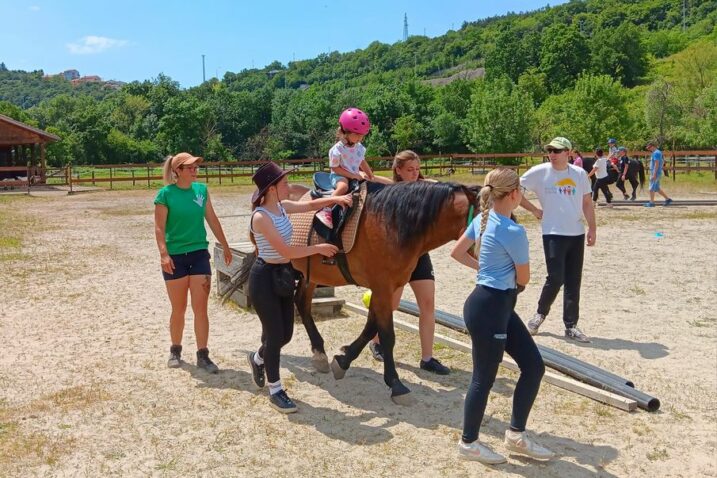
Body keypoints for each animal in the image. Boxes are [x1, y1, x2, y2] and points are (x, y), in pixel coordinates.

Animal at [286, 181, 482, 406]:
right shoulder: (382, 287)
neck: (393, 225)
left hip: (310, 274)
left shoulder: (385, 289)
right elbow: (387, 335)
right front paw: (396, 384)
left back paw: (319, 353)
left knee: (302, 302)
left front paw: (343, 361)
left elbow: (371, 327)